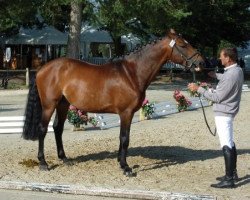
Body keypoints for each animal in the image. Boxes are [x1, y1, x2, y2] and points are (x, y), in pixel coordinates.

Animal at [22, 28, 205, 176]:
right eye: (182, 45)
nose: (201, 62)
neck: (131, 73)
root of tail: (43, 69)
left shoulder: (127, 114)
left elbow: (124, 137)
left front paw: (120, 160)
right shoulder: (126, 112)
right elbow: (124, 138)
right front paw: (126, 167)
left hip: (63, 104)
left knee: (57, 128)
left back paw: (65, 158)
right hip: (49, 105)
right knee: (43, 129)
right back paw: (43, 163)